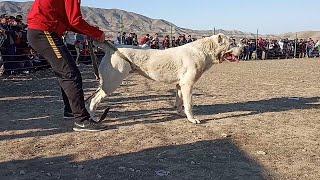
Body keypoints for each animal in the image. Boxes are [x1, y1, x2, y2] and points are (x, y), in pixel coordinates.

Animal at [89, 33, 242, 124]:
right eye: (232, 43)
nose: (242, 50)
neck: (204, 51)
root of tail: (113, 48)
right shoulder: (187, 85)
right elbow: (189, 104)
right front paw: (192, 119)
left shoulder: (180, 85)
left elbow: (179, 102)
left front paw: (180, 113)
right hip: (111, 83)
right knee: (93, 99)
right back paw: (92, 117)